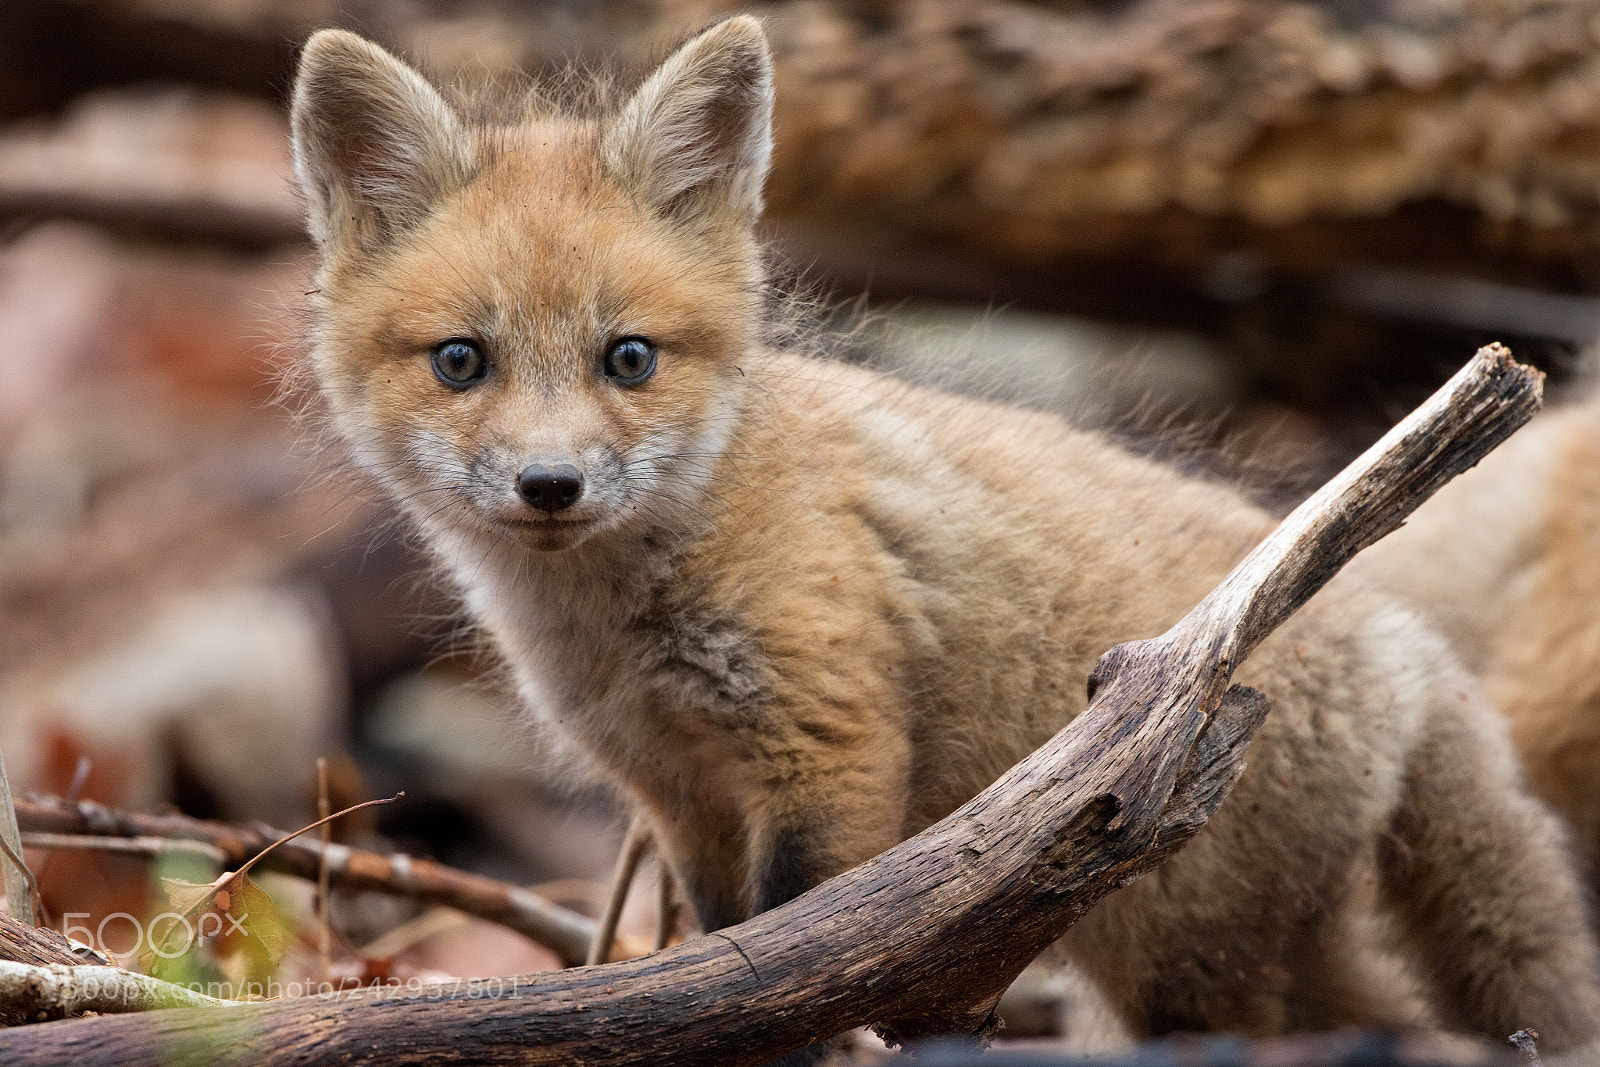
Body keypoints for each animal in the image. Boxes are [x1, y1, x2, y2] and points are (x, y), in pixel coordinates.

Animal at [289, 17, 1600, 1056]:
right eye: (463, 361)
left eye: (630, 358)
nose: (549, 484)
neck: (625, 619)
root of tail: (1407, 647)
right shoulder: (680, 795)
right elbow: (718, 952)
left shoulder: (826, 744)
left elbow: (786, 961)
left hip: (1189, 958)